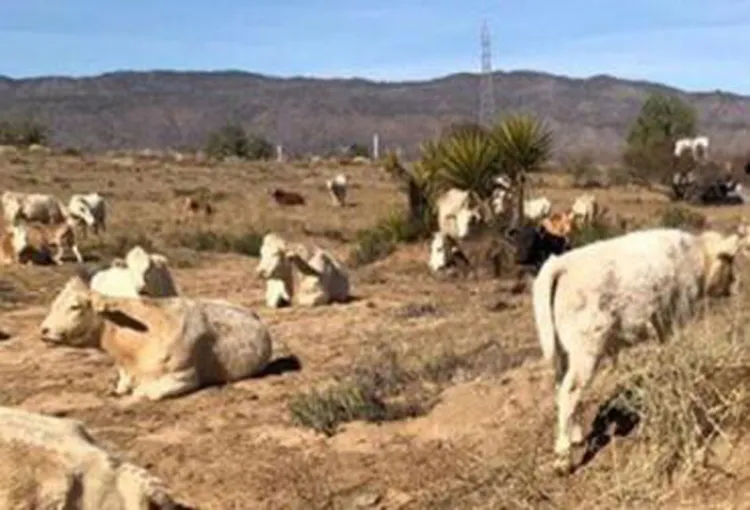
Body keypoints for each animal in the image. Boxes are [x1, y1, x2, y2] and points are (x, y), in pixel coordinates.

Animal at [536, 227, 750, 474]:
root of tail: (561, 263)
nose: (737, 283)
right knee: (569, 391)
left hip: (562, 351)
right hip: (585, 348)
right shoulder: (675, 317)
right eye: (730, 259)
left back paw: (576, 437)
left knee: (561, 387)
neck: (697, 255)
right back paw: (563, 459)